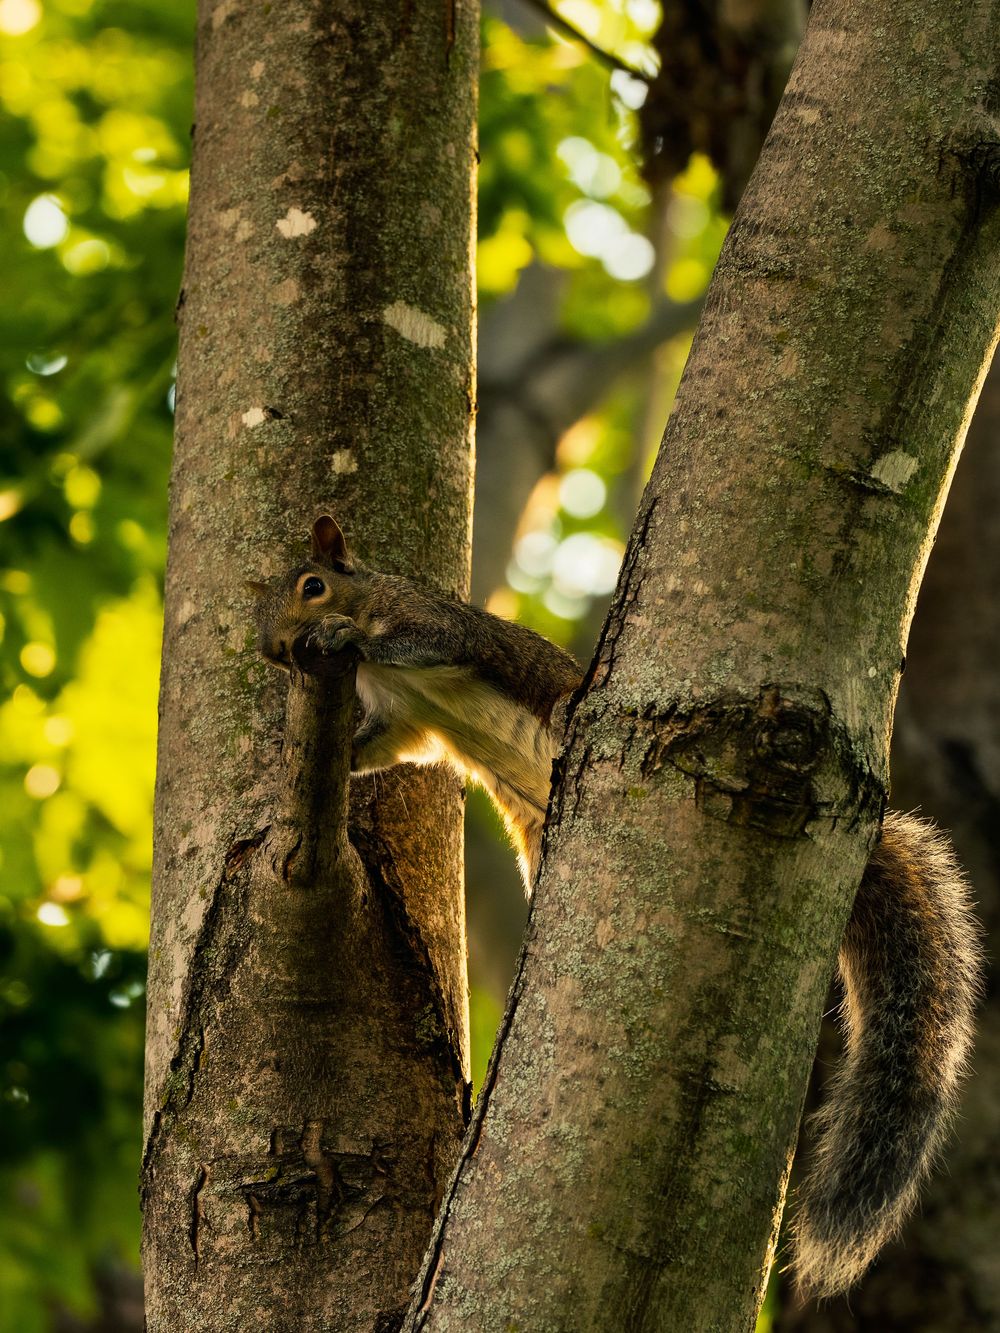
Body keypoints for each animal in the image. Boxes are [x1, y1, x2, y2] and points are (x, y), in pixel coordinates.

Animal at [254, 514, 981, 1301]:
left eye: (312, 586)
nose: (275, 651)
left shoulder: (436, 627)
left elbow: (424, 639)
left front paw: (340, 637)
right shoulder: (398, 720)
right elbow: (381, 748)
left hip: (562, 717)